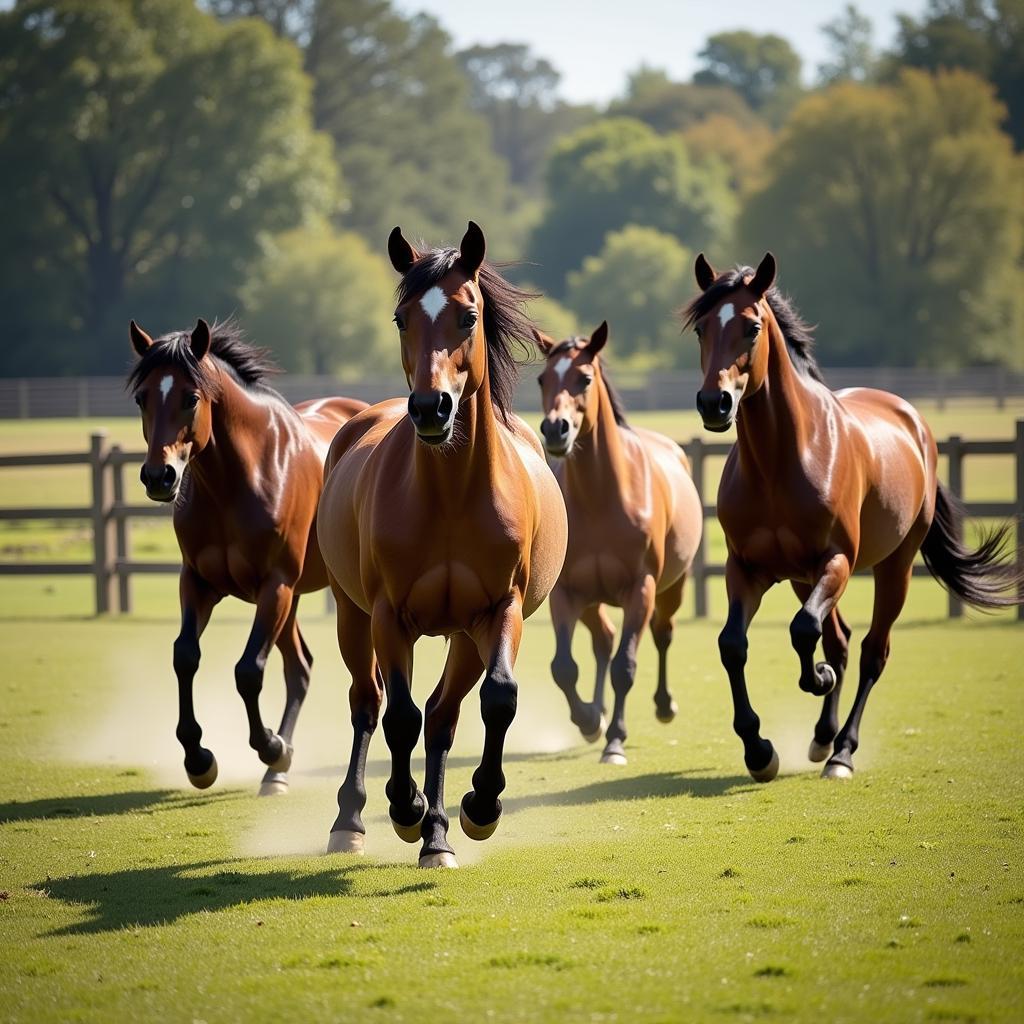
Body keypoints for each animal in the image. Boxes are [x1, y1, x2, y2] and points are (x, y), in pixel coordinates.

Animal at [127, 317, 366, 790]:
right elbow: (185, 656)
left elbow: (248, 670)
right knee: (300, 667)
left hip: (298, 595)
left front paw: (270, 745)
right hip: (291, 600)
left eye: (190, 398)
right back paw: (276, 773)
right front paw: (199, 758)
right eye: (142, 397)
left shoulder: (274, 586)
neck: (239, 478)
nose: (159, 477)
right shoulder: (198, 582)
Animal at [317, 222, 569, 864]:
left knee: (443, 713)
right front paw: (402, 807)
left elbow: (497, 699)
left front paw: (480, 806)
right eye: (401, 318)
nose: (431, 409)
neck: (452, 498)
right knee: (369, 702)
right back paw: (353, 821)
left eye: (468, 315)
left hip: (463, 634)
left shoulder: (499, 611)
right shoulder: (389, 616)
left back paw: (438, 834)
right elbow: (399, 717)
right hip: (352, 615)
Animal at [536, 323, 704, 765]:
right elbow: (563, 667)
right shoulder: (567, 592)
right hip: (591, 600)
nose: (555, 430)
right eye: (543, 379)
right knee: (603, 640)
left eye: (584, 378)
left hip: (670, 589)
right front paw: (589, 720)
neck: (603, 497)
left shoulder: (639, 590)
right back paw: (597, 711)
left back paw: (663, 705)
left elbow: (624, 666)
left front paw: (614, 741)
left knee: (661, 634)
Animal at [684, 251, 1019, 778]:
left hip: (892, 569)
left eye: (753, 327)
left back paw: (841, 750)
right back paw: (823, 737)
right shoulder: (747, 569)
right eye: (701, 329)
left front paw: (815, 681)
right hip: (802, 577)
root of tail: (914, 422)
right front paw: (759, 750)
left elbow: (804, 631)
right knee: (838, 640)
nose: (714, 404)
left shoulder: (836, 561)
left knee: (870, 652)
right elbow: (733, 644)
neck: (781, 461)